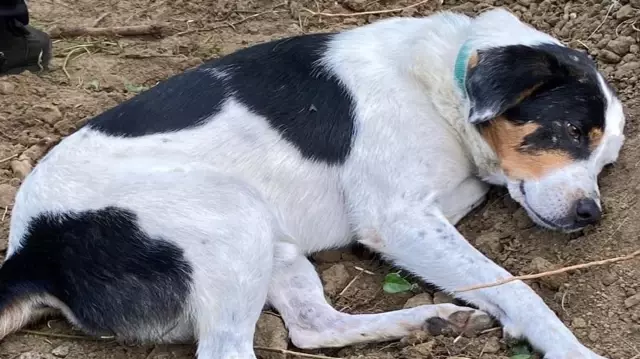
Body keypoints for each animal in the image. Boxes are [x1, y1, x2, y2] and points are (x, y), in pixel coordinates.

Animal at [0, 7, 624, 359]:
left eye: (607, 162)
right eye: (573, 130)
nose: (591, 216)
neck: (444, 81)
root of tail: (28, 254)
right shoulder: (400, 220)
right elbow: (516, 288)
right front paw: (570, 348)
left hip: (272, 244)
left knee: (311, 328)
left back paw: (429, 320)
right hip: (232, 215)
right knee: (228, 351)